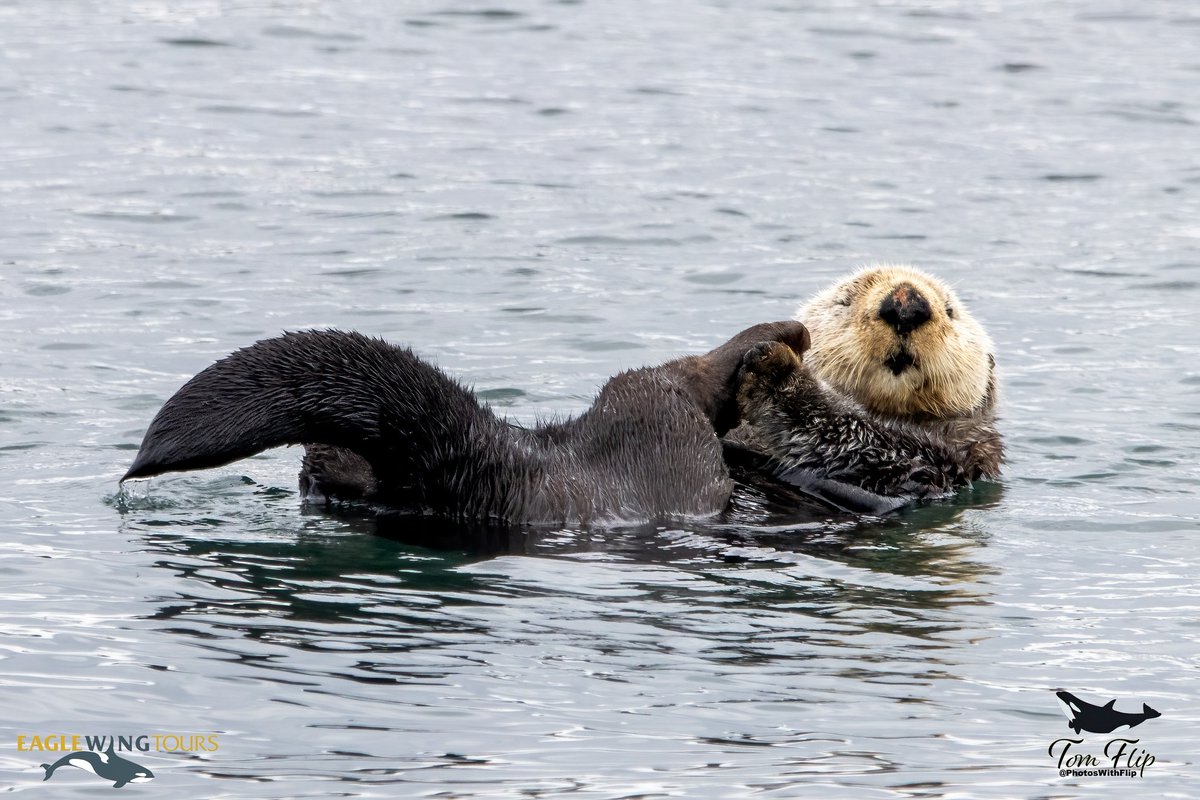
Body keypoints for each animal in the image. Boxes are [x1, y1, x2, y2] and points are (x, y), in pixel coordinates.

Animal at [2, 0, 1200, 796]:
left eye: (944, 305)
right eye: (858, 290)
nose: (904, 302)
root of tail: (527, 481)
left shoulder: (928, 464)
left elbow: (838, 441)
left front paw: (785, 374)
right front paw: (791, 351)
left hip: (650, 440)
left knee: (664, 395)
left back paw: (742, 354)